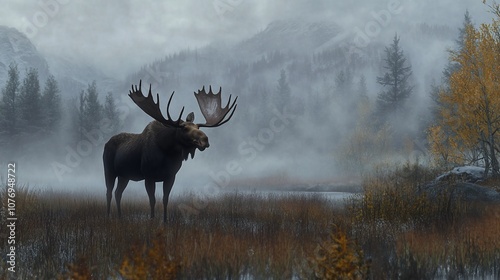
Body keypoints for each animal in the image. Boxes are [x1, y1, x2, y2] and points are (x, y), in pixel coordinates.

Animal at [102, 80, 237, 222]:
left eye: (198, 127)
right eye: (184, 128)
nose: (204, 140)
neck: (167, 152)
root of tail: (106, 143)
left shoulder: (171, 176)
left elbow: (165, 199)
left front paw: (165, 220)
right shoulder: (148, 175)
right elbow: (152, 200)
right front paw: (152, 219)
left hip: (124, 175)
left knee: (118, 193)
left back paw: (120, 216)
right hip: (109, 170)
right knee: (109, 192)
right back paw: (108, 216)